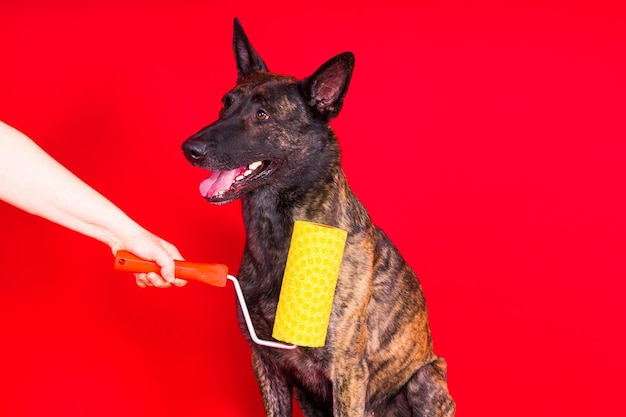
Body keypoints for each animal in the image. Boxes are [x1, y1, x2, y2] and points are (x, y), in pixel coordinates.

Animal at [180, 17, 454, 416]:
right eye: (224, 105)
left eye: (261, 115)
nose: (189, 149)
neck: (278, 232)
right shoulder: (266, 363)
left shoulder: (347, 372)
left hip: (427, 377)